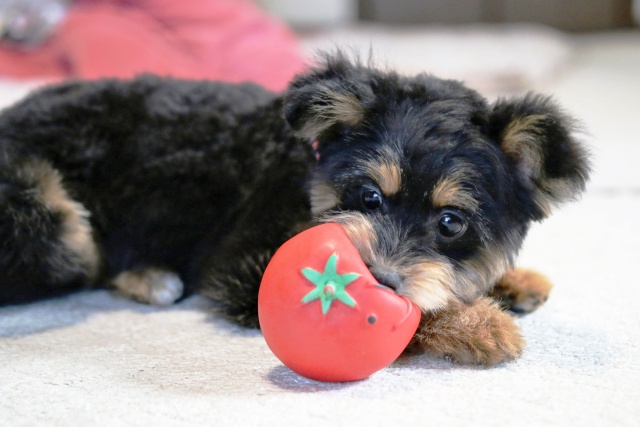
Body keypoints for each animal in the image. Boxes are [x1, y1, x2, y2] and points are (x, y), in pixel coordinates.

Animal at [0, 53, 592, 366]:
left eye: (451, 222)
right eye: (369, 196)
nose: (376, 275)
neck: (308, 173)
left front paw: (512, 280)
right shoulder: (245, 264)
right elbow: (414, 316)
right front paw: (478, 325)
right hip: (58, 226)